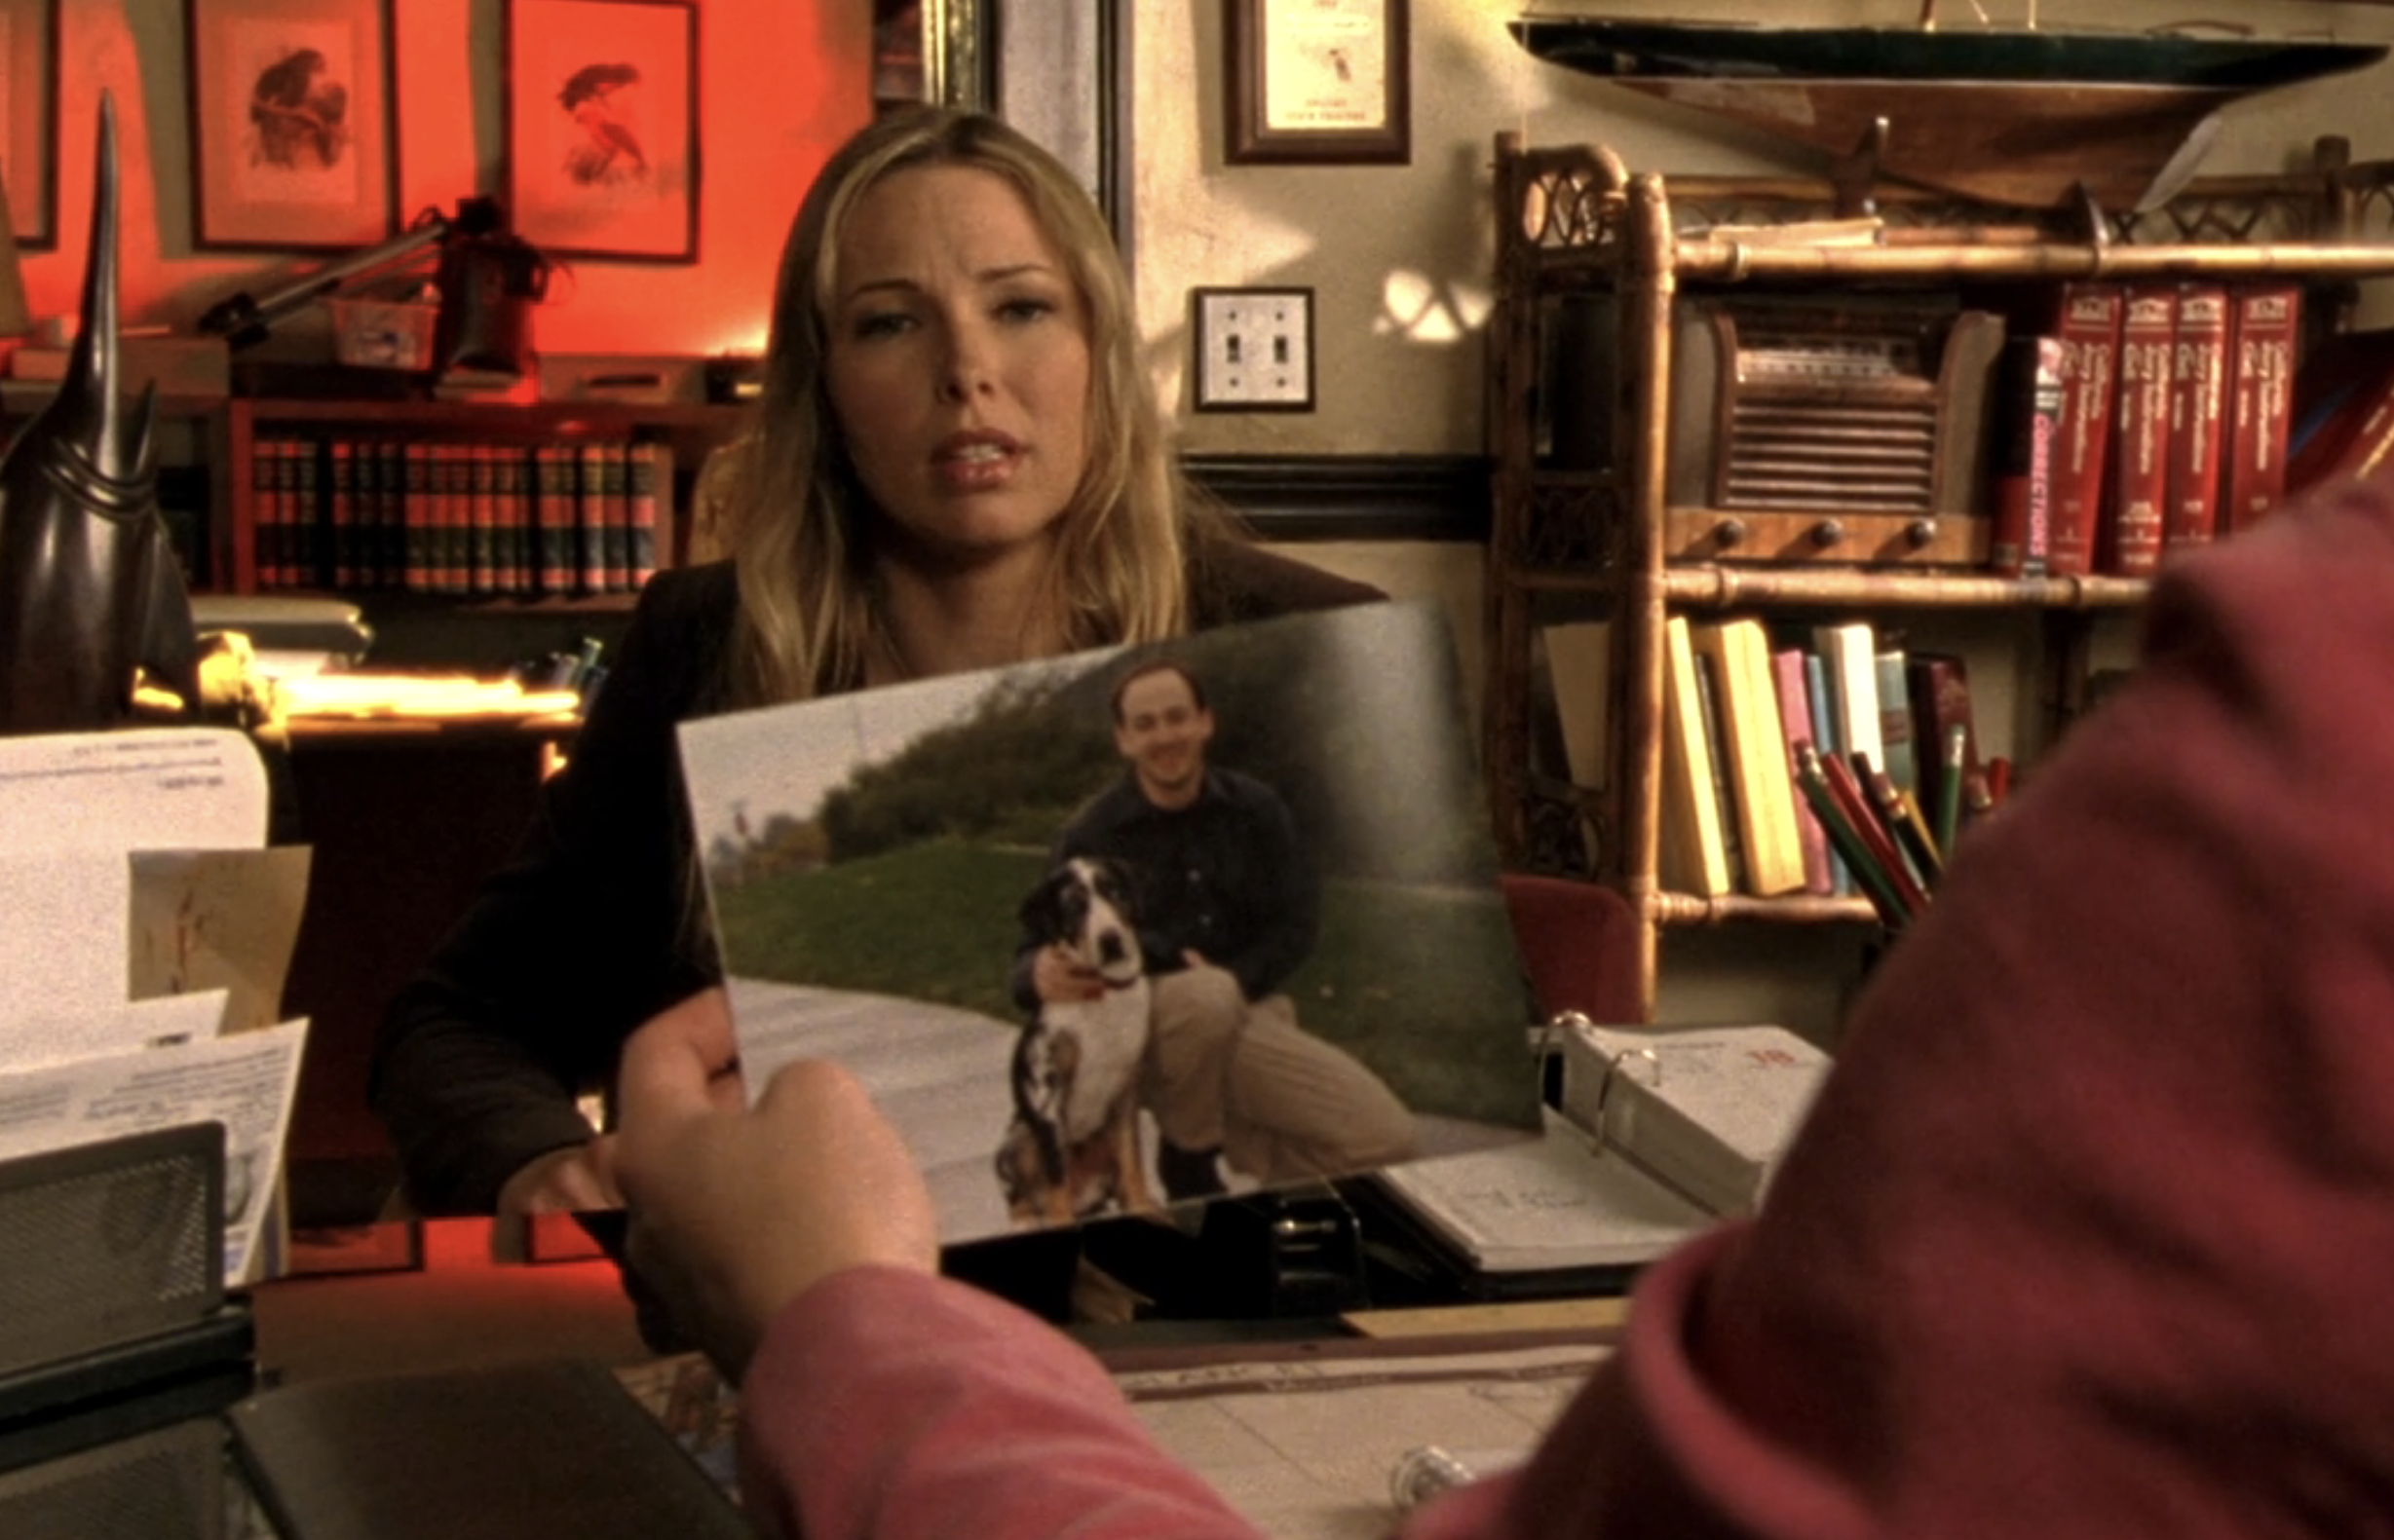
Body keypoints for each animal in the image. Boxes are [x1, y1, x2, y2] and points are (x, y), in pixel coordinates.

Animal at [991, 857, 1159, 1225]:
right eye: (1073, 908)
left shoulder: (1127, 1093)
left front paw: (1144, 1208)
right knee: (1025, 1200)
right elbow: (1057, 1178)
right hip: (1016, 1141)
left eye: (1116, 892)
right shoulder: (1047, 1098)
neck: (1104, 995)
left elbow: (1133, 1162)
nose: (1110, 940)